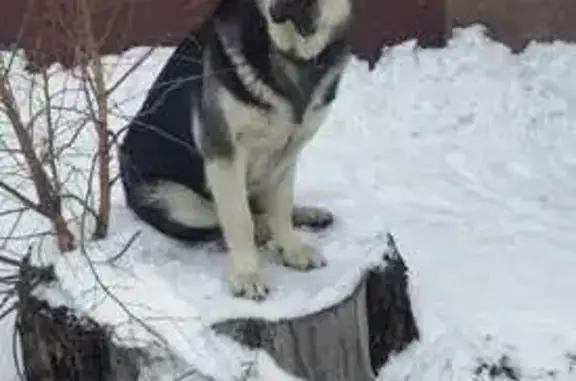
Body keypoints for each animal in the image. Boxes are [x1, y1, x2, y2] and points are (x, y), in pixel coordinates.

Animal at [119, 0, 354, 298]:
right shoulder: (225, 154)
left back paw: (304, 215)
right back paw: (265, 232)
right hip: (174, 200)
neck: (289, 55)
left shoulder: (287, 153)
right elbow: (239, 218)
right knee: (224, 217)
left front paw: (290, 247)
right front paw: (247, 274)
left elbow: (281, 205)